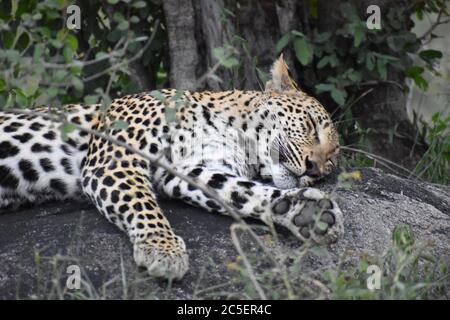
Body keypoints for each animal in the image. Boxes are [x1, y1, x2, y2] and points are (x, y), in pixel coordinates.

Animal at [0, 55, 344, 280]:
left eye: (330, 161)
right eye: (311, 125)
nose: (314, 169)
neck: (236, 134)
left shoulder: (188, 171)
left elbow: (243, 192)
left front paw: (308, 214)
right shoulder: (118, 156)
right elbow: (141, 204)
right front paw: (162, 250)